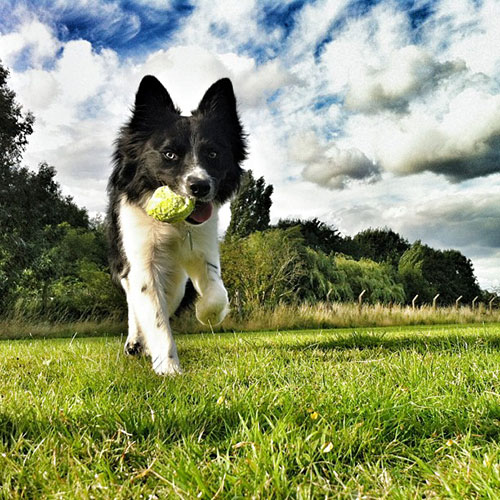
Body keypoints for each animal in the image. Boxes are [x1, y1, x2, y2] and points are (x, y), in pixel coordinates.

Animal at [107, 75, 246, 376]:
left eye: (213, 154)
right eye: (169, 155)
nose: (200, 186)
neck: (175, 226)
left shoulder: (202, 247)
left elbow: (217, 293)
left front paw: (206, 313)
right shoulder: (141, 260)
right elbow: (155, 317)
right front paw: (169, 368)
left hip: (176, 278)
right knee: (134, 302)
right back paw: (135, 341)